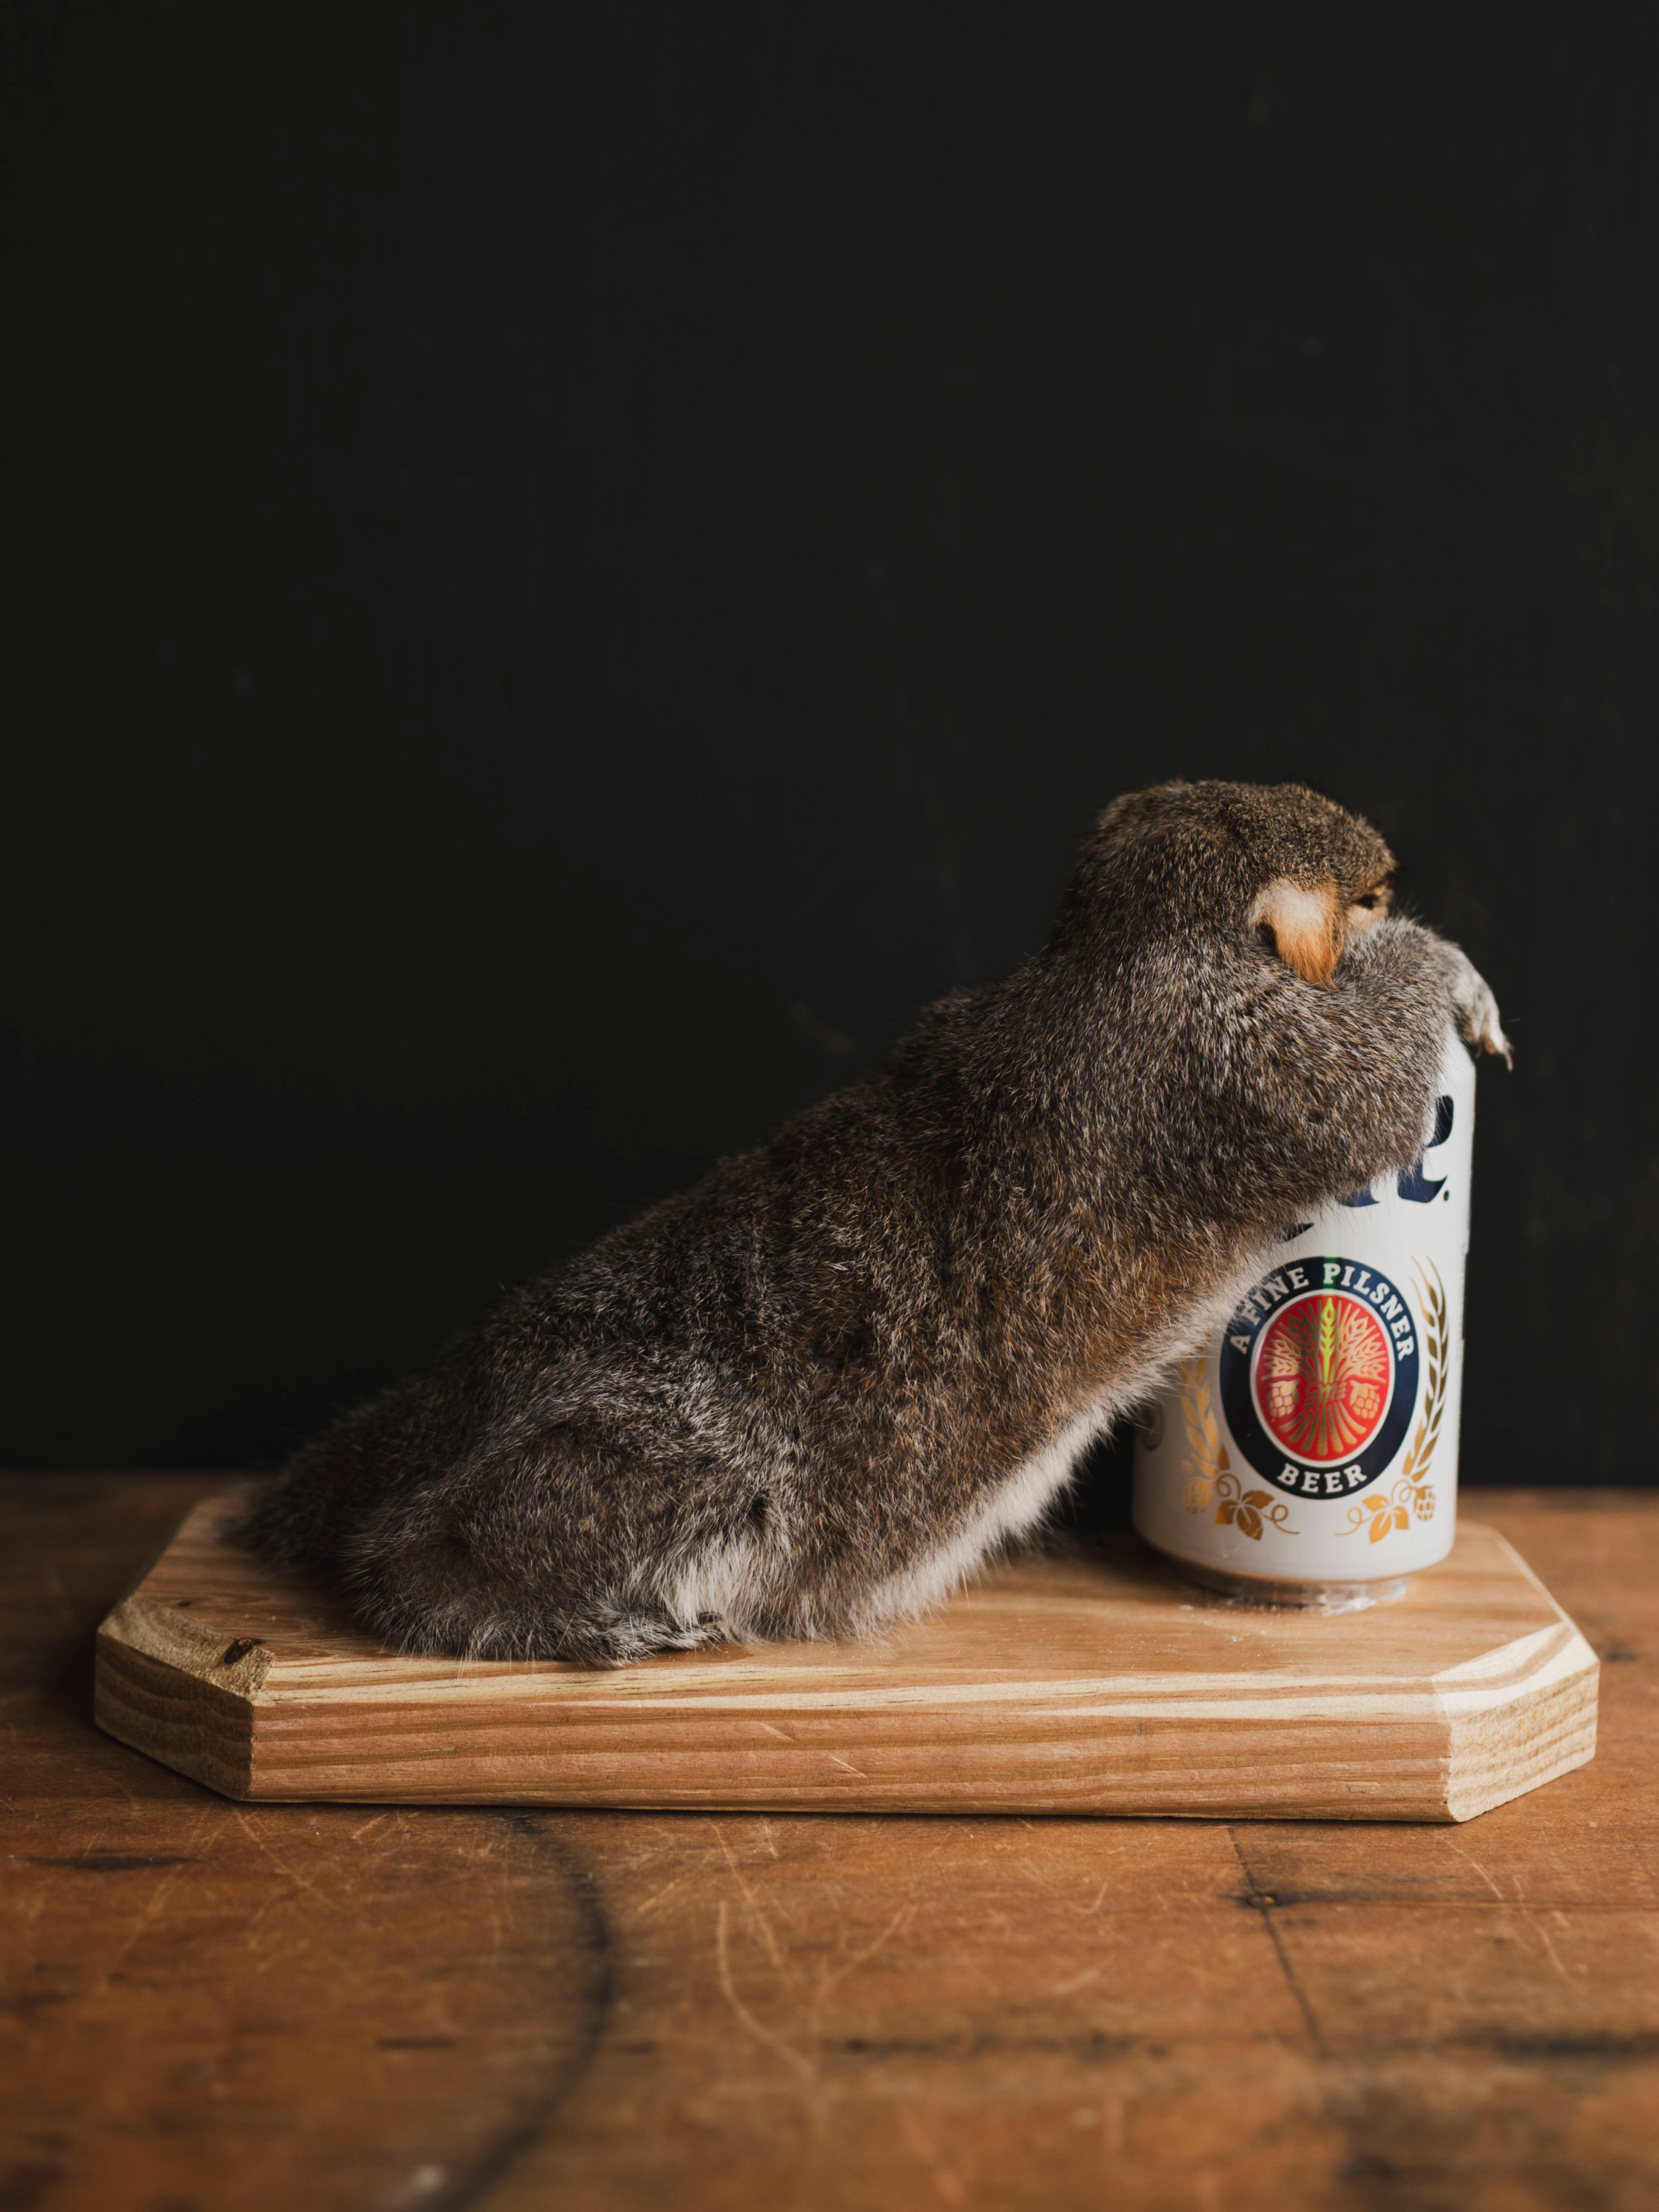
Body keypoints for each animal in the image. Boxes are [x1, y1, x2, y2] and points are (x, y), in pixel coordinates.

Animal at [241, 779, 1509, 1664]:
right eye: (1366, 893)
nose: (1392, 882)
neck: (1111, 958)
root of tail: (448, 1402)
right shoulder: (1236, 1058)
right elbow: (1368, 1090)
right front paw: (1440, 962)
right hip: (662, 1475)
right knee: (418, 1567)